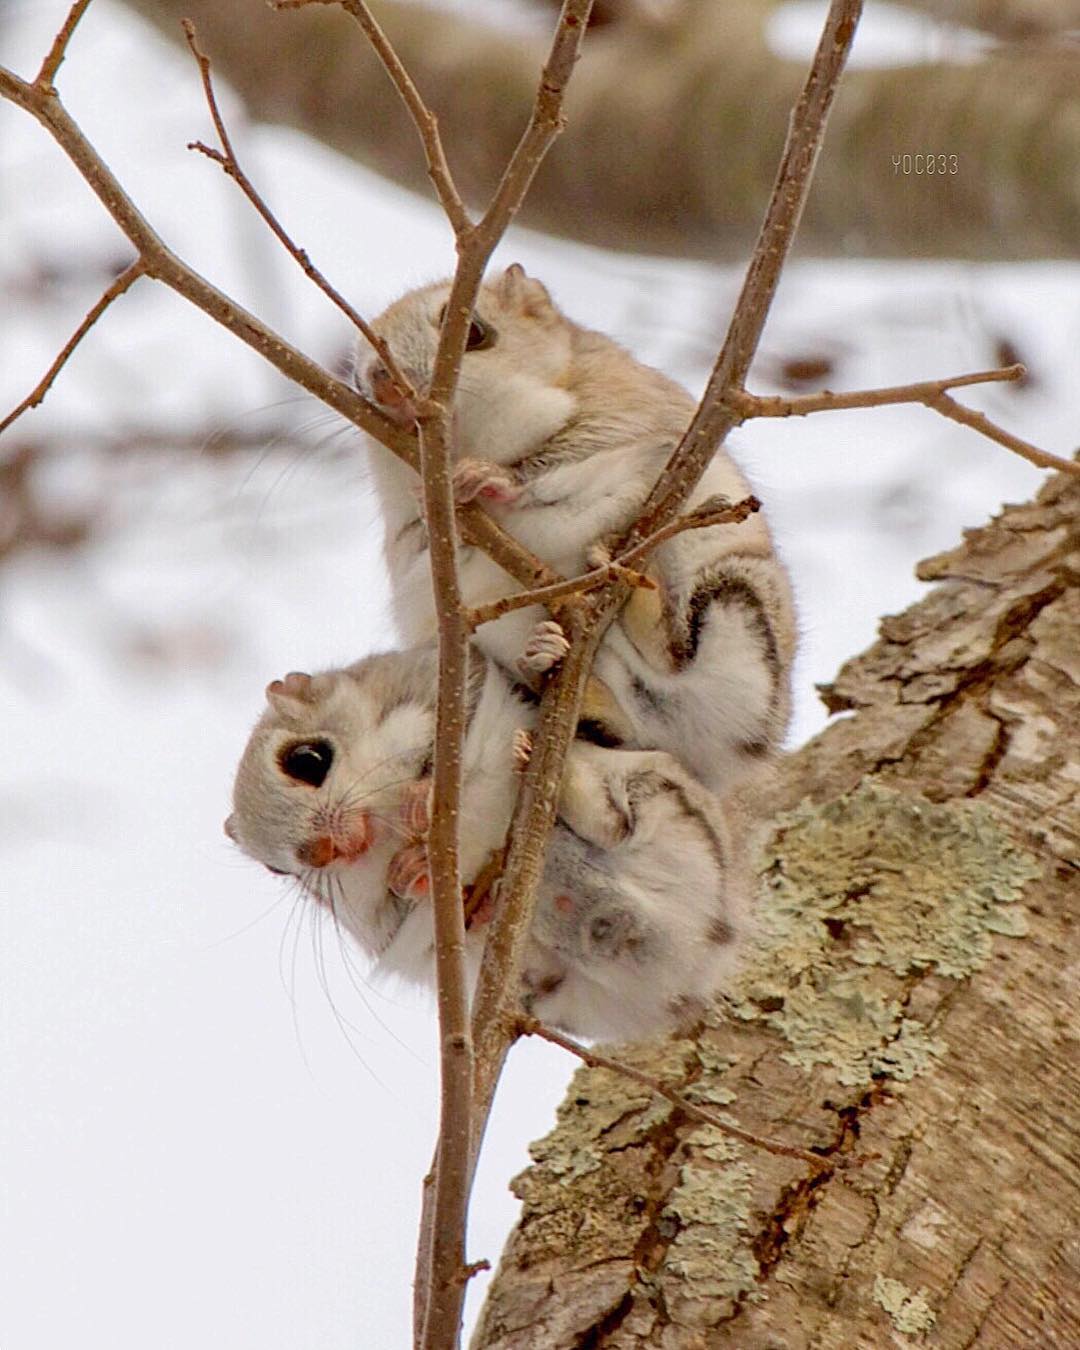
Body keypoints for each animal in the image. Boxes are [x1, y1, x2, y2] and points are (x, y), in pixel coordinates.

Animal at [353, 265, 793, 799]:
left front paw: (487, 480)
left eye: (474, 332)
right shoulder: (406, 537)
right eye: (353, 377)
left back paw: (635, 582)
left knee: (671, 649)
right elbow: (421, 539)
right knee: (619, 723)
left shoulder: (619, 415)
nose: (379, 382)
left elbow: (563, 461)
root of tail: (708, 761)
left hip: (738, 597)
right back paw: (546, 659)